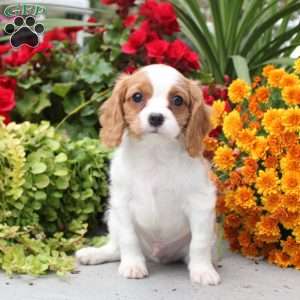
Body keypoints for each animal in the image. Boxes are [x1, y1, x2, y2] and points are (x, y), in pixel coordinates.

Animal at [75, 64, 220, 284]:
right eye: (137, 97)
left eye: (177, 100)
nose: (156, 118)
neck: (155, 152)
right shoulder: (121, 203)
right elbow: (128, 238)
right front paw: (133, 265)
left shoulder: (201, 204)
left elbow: (199, 243)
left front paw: (203, 270)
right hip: (112, 217)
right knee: (116, 247)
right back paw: (94, 254)